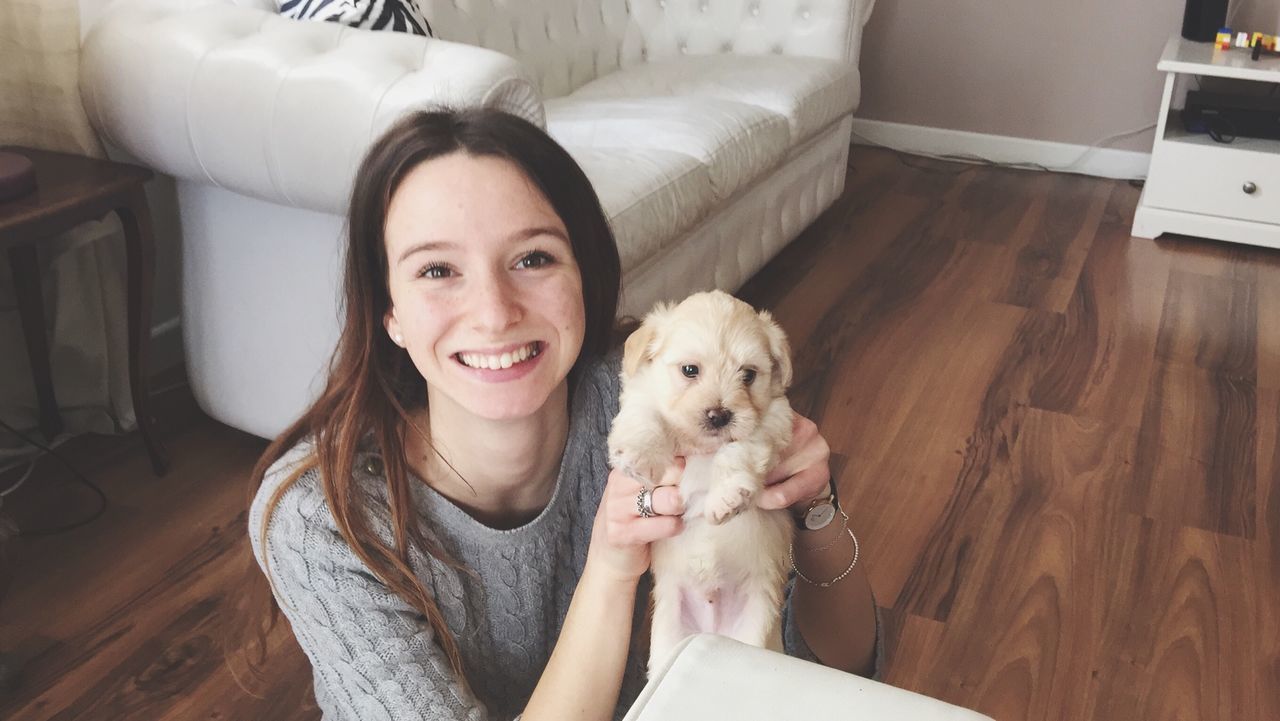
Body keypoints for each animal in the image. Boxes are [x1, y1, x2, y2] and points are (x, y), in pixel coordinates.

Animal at [604, 288, 793, 676]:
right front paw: (637, 456)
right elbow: (646, 416)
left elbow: (738, 449)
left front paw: (728, 496)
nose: (720, 415)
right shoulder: (642, 394)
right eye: (690, 370)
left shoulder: (773, 422)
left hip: (755, 634)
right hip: (668, 639)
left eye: (748, 375)